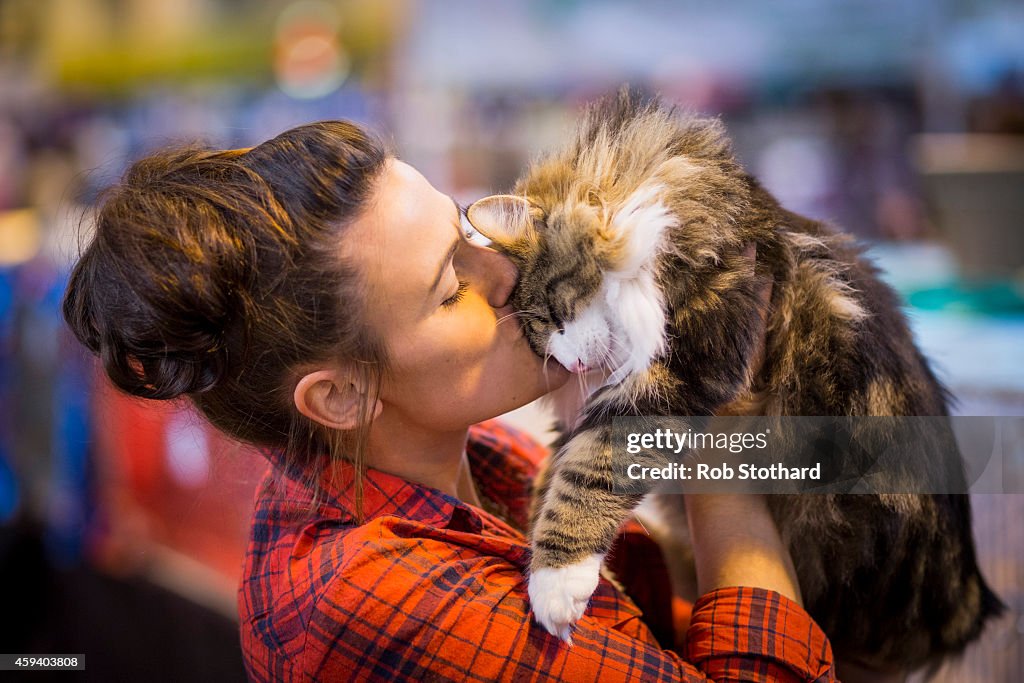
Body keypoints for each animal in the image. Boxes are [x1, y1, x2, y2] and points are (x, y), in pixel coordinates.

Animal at [466, 88, 1007, 671]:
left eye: (554, 315)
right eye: (538, 341)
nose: (568, 365)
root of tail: (967, 606)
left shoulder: (681, 368)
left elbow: (587, 476)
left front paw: (555, 583)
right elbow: (551, 478)